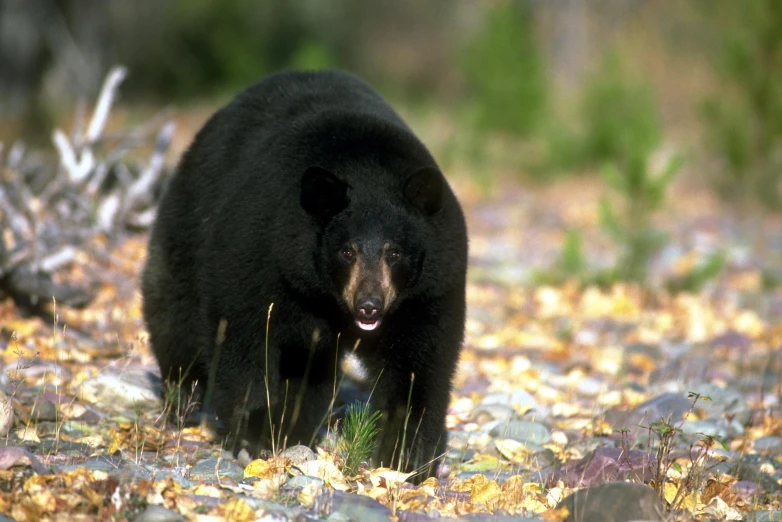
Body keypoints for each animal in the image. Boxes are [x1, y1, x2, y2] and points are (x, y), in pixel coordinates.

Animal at [142, 69, 466, 480]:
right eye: (347, 250)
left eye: (394, 252)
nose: (370, 306)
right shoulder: (264, 257)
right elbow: (245, 339)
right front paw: (256, 435)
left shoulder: (429, 288)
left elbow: (419, 363)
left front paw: (405, 455)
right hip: (188, 226)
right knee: (175, 316)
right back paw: (182, 401)